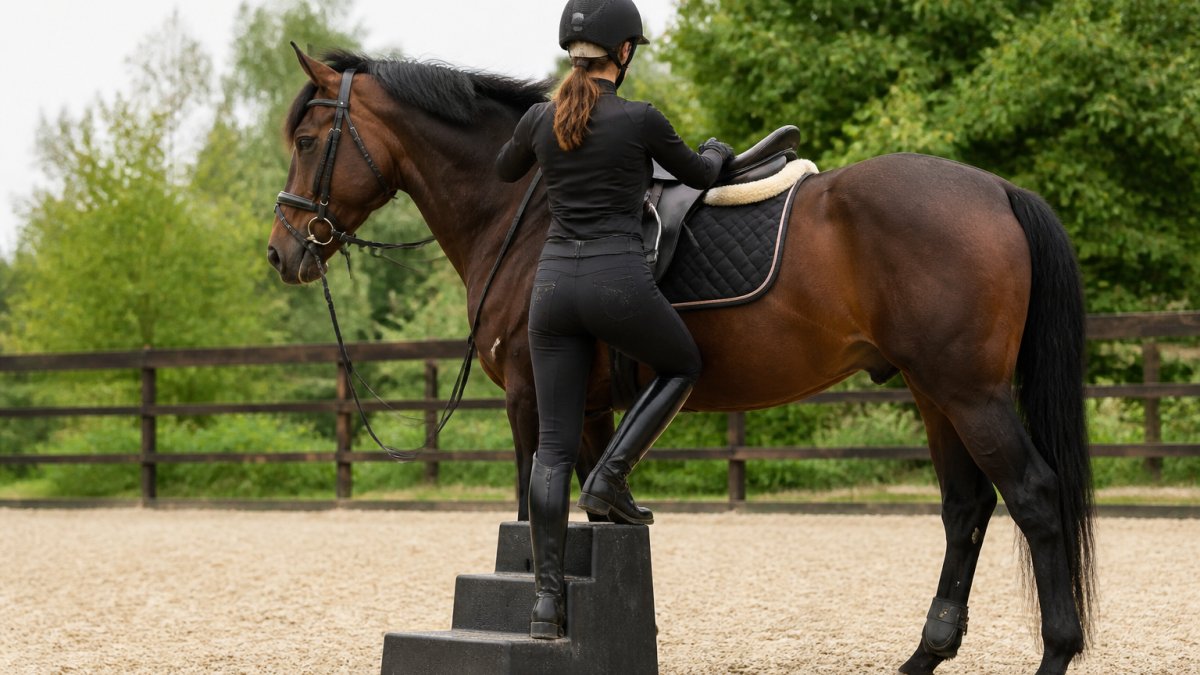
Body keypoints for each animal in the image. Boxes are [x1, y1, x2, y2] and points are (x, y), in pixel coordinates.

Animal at [266, 46, 1094, 675]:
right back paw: (925, 653)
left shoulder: (532, 395)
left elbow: (534, 502)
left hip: (970, 392)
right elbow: (587, 504)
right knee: (966, 508)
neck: (526, 215)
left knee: (1032, 495)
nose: (282, 252)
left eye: (307, 142)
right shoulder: (591, 406)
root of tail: (999, 190)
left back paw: (1056, 651)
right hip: (934, 393)